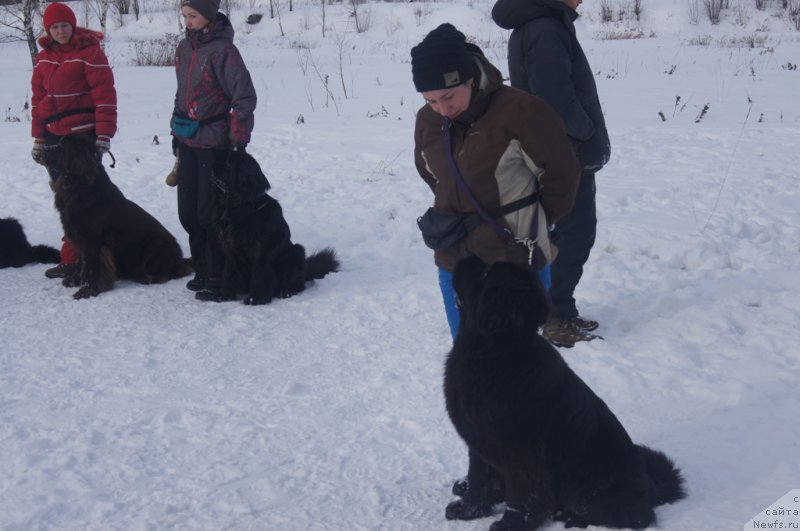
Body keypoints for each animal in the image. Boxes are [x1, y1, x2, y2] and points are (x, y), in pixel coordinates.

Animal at [45, 134, 192, 300]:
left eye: (61, 147)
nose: (41, 151)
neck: (80, 185)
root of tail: (180, 259)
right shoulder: (78, 237)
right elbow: (80, 262)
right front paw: (74, 280)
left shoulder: (92, 240)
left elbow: (91, 265)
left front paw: (88, 290)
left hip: (156, 244)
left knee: (171, 272)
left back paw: (145, 277)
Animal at [206, 152, 338, 306]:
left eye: (229, 163)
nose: (212, 166)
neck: (243, 207)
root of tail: (306, 269)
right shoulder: (230, 248)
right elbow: (229, 272)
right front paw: (224, 294)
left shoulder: (261, 250)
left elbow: (260, 273)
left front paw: (256, 298)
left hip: (296, 251)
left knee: (297, 284)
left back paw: (285, 291)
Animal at [444, 256, 688, 528]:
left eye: (486, 273)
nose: (467, 257)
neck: (493, 351)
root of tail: (651, 489)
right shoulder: (479, 445)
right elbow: (479, 482)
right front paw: (467, 510)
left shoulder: (521, 456)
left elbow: (524, 496)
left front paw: (511, 524)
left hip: (595, 490)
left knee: (636, 517)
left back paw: (569, 516)